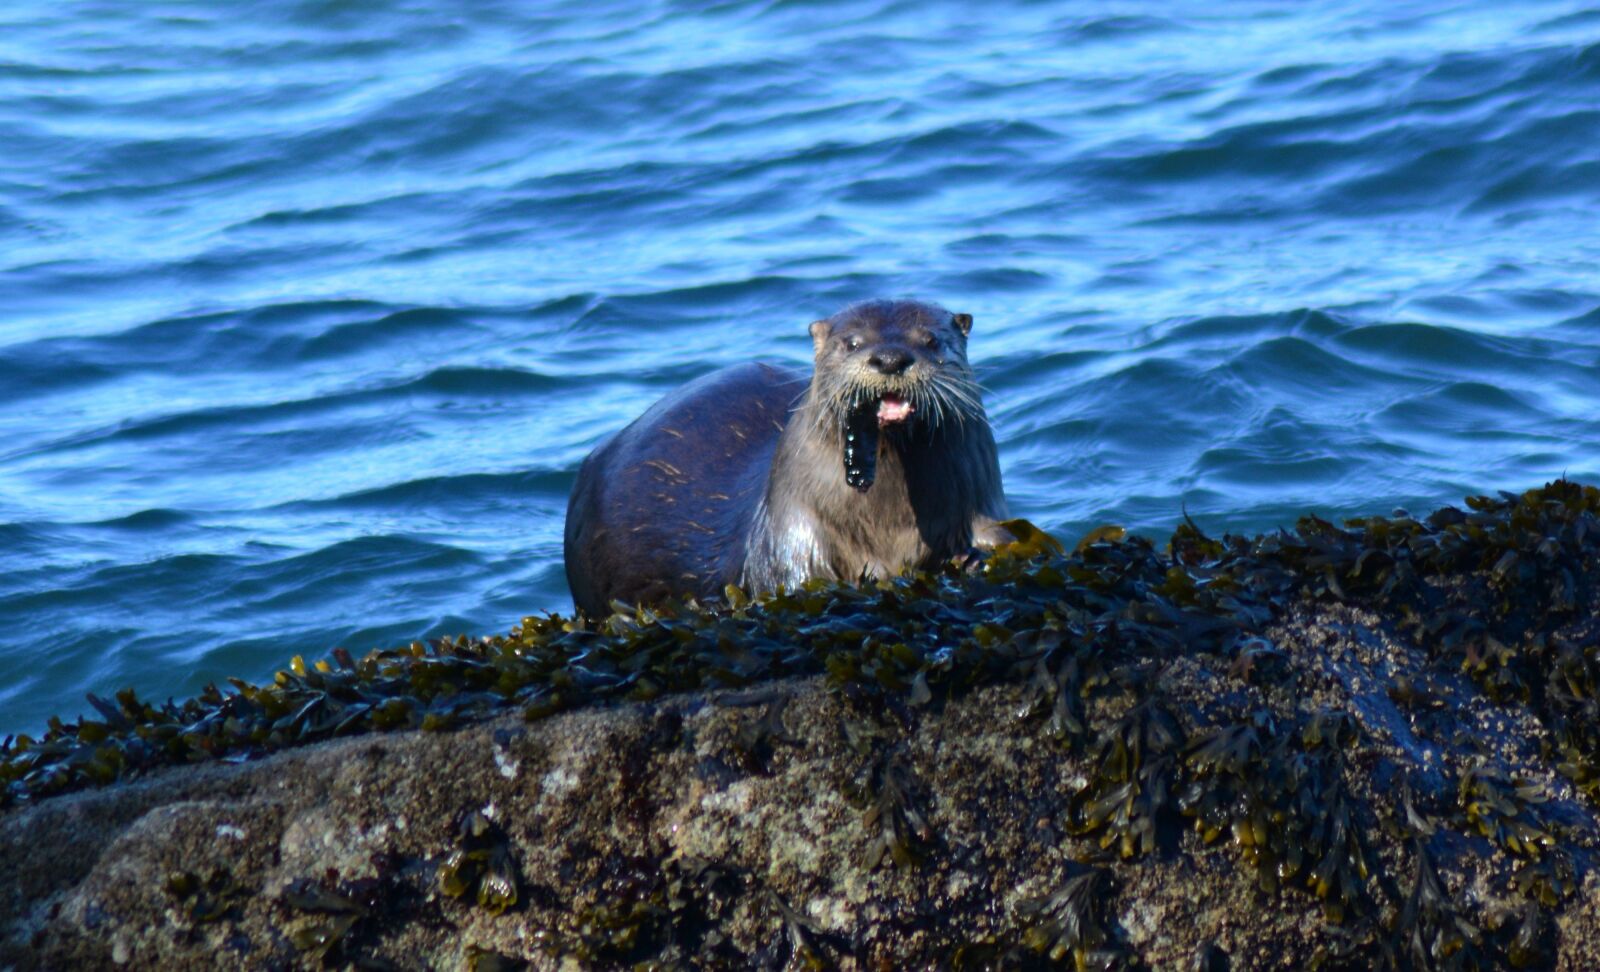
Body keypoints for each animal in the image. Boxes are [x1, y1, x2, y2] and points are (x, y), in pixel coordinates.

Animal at [563, 299, 1007, 616]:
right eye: (852, 342)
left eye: (931, 340)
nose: (891, 358)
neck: (890, 523)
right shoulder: (794, 529)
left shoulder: (978, 498)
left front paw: (972, 557)